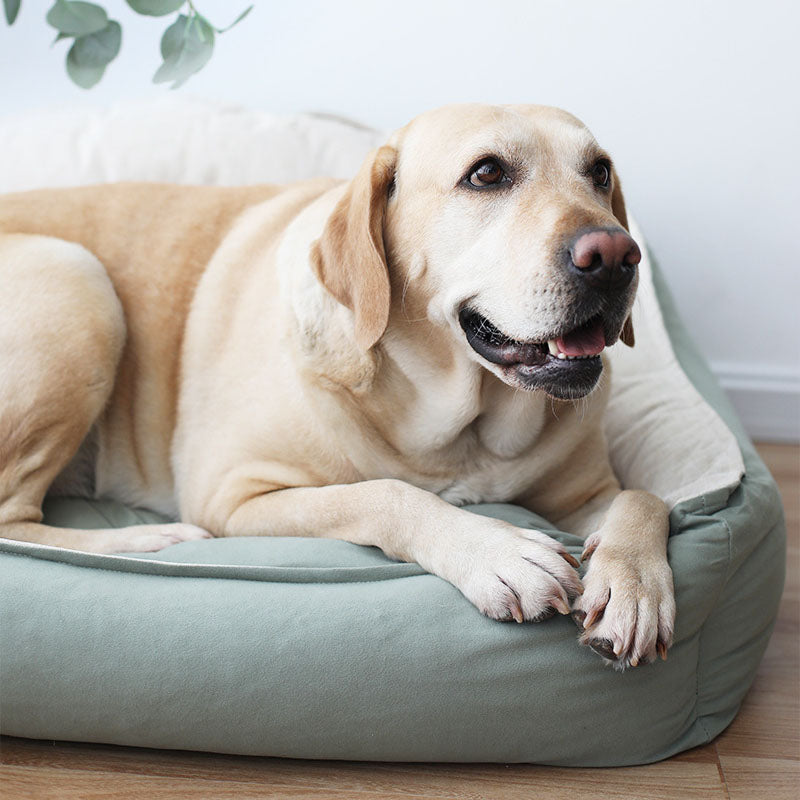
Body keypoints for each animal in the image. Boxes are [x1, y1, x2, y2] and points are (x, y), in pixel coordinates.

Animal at [0, 104, 676, 668]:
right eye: (486, 174)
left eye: (599, 172)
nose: (616, 255)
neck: (463, 428)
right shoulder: (232, 496)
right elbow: (383, 493)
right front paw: (494, 551)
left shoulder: (588, 490)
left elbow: (647, 499)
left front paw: (634, 586)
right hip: (76, 278)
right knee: (14, 521)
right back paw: (148, 539)